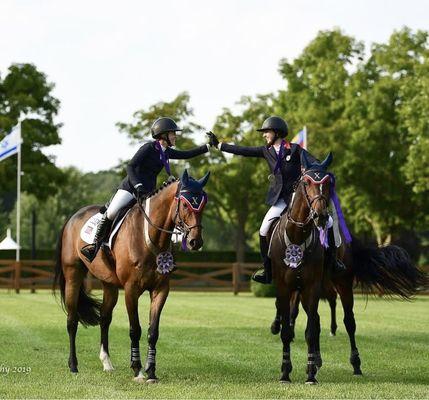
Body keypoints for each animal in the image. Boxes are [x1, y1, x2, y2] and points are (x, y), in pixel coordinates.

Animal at [53, 169, 211, 382]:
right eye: (185, 204)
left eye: (203, 204)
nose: (195, 242)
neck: (150, 235)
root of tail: (72, 218)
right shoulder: (131, 289)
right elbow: (135, 329)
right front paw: (137, 370)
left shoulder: (161, 289)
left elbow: (153, 332)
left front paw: (151, 371)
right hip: (73, 276)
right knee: (72, 320)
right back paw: (73, 366)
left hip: (109, 284)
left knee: (105, 318)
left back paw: (107, 363)